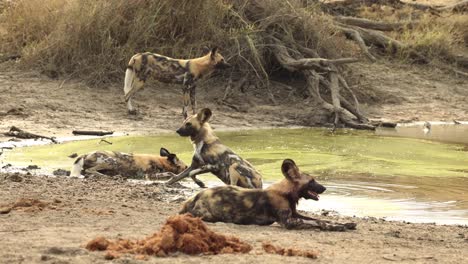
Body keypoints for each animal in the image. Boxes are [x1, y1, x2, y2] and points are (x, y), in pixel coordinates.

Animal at [181, 159, 356, 231]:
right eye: (312, 181)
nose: (325, 188)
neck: (286, 194)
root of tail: (194, 197)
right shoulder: (289, 221)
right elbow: (318, 222)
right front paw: (338, 227)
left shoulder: (295, 214)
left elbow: (322, 219)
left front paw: (345, 224)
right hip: (209, 215)